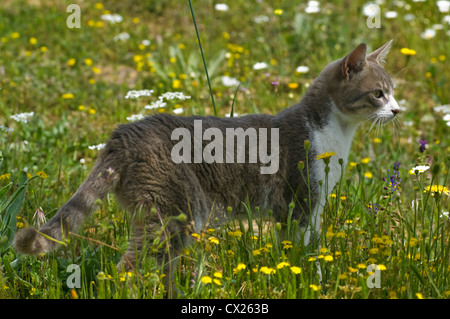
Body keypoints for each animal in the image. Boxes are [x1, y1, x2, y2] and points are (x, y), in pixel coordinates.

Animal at [14, 41, 400, 296]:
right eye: (378, 93)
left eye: (393, 91)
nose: (398, 110)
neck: (331, 133)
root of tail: (124, 135)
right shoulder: (302, 203)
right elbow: (308, 252)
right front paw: (312, 282)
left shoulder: (296, 212)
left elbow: (292, 251)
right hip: (175, 212)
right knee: (127, 268)